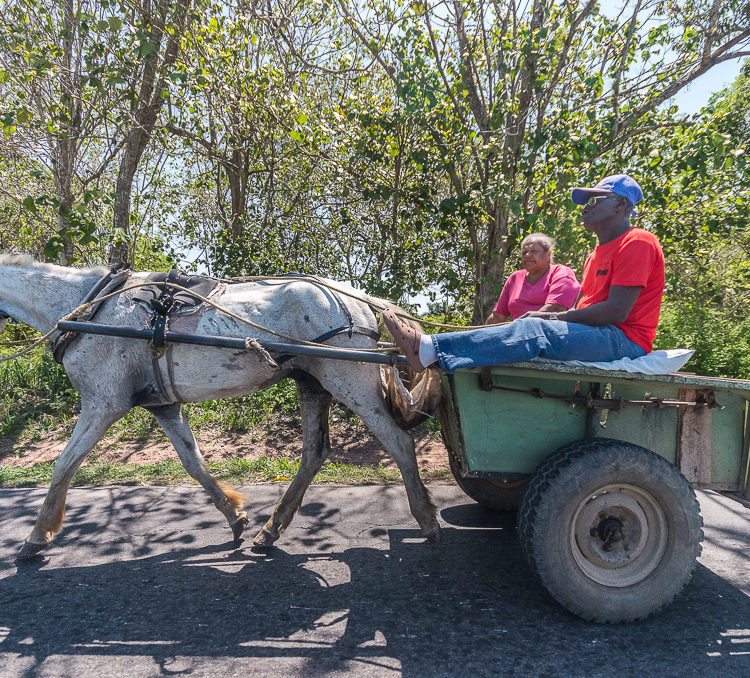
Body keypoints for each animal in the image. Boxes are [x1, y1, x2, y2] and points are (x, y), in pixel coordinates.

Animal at [0, 258, 440, 560]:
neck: (90, 308)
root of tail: (359, 300)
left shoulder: (102, 403)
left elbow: (64, 465)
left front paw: (38, 534)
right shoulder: (163, 405)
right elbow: (193, 463)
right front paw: (234, 515)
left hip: (350, 381)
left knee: (399, 443)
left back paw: (427, 519)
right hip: (312, 383)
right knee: (314, 453)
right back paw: (270, 529)